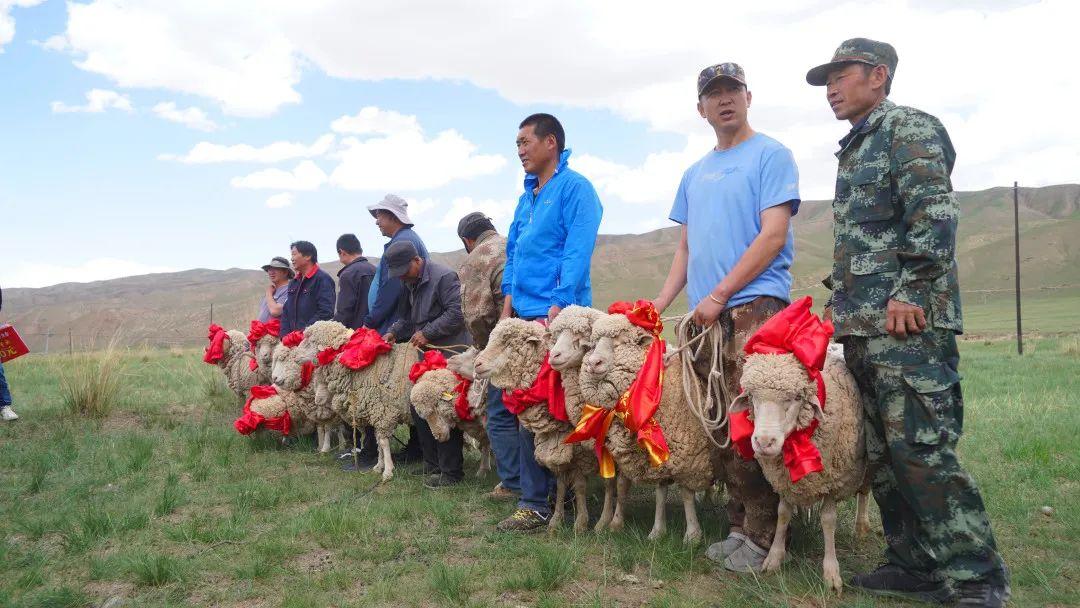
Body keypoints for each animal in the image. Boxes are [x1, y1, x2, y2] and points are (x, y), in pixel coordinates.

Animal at [477, 319, 604, 533]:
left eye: (507, 342)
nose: (477, 364)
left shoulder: (577, 446)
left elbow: (579, 484)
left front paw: (580, 522)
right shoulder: (557, 440)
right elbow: (561, 482)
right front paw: (556, 518)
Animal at [583, 311, 717, 544]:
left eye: (620, 342)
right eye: (593, 343)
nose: (592, 362)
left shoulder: (689, 454)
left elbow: (686, 493)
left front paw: (692, 535)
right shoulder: (658, 455)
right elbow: (660, 492)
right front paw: (657, 531)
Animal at [725, 349, 868, 591]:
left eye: (796, 398)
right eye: (752, 397)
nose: (764, 442)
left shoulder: (833, 480)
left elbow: (828, 520)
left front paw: (831, 573)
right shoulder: (783, 480)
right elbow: (782, 513)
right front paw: (774, 558)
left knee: (865, 491)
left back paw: (861, 526)